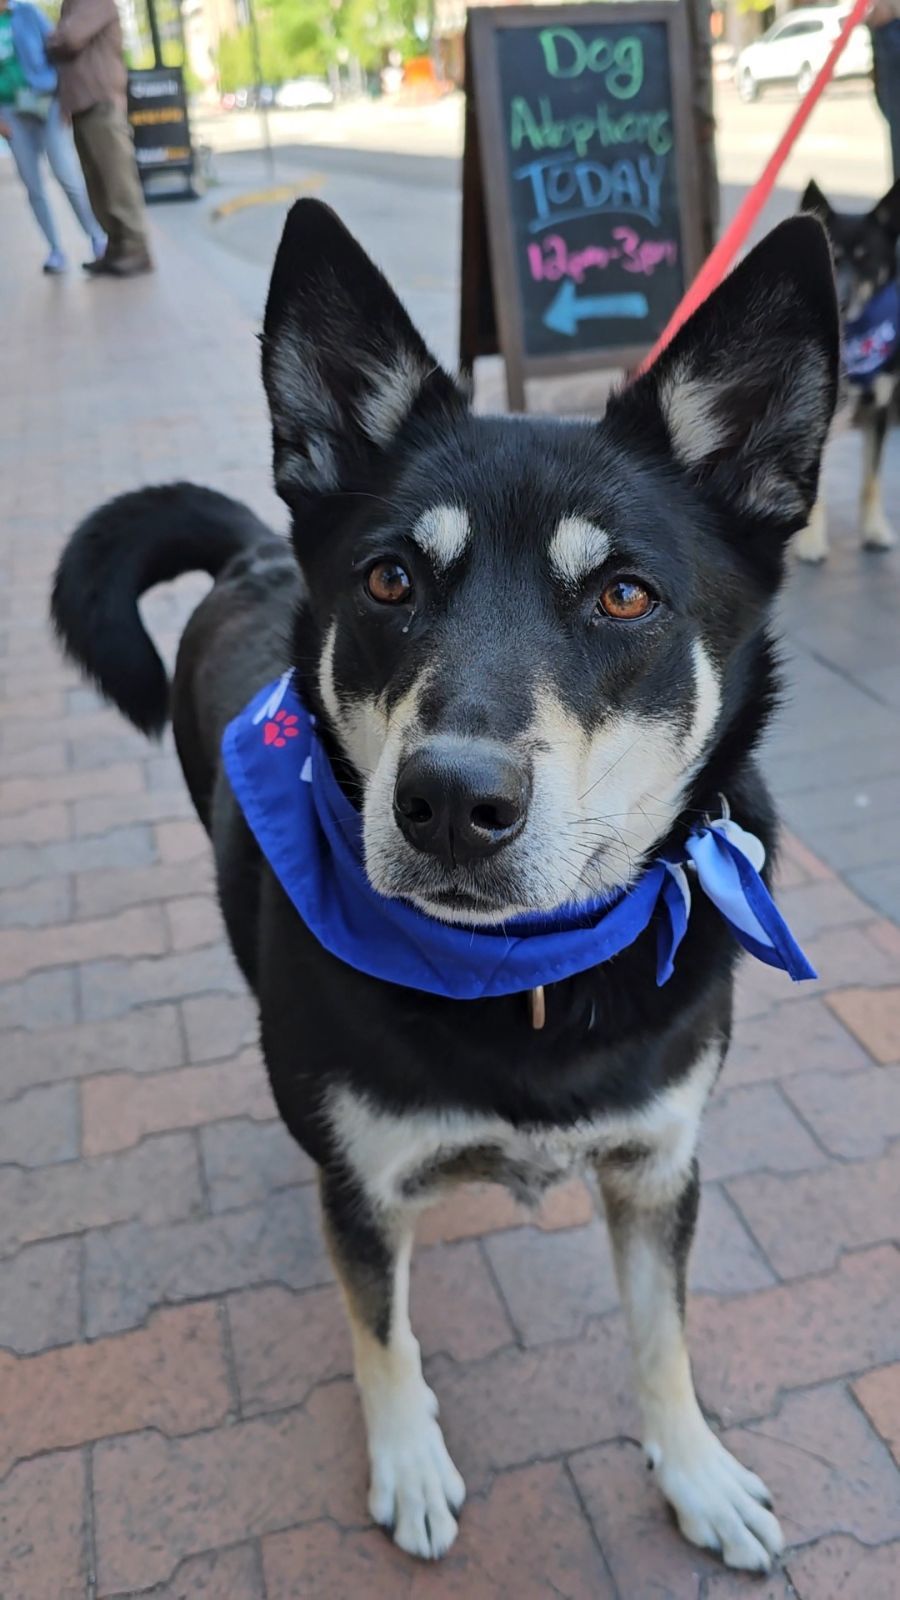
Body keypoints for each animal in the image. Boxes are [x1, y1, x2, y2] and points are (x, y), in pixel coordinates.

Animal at [49, 200, 832, 1574]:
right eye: (389, 580)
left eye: (624, 592)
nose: (452, 802)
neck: (524, 977)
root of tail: (254, 546)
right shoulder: (363, 1189)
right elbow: (383, 1329)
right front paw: (409, 1462)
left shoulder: (659, 1163)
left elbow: (663, 1336)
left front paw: (694, 1472)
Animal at [791, 173, 896, 563]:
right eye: (831, 258)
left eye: (867, 260)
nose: (845, 300)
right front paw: (811, 542)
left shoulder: (879, 410)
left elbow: (871, 479)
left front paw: (874, 529)